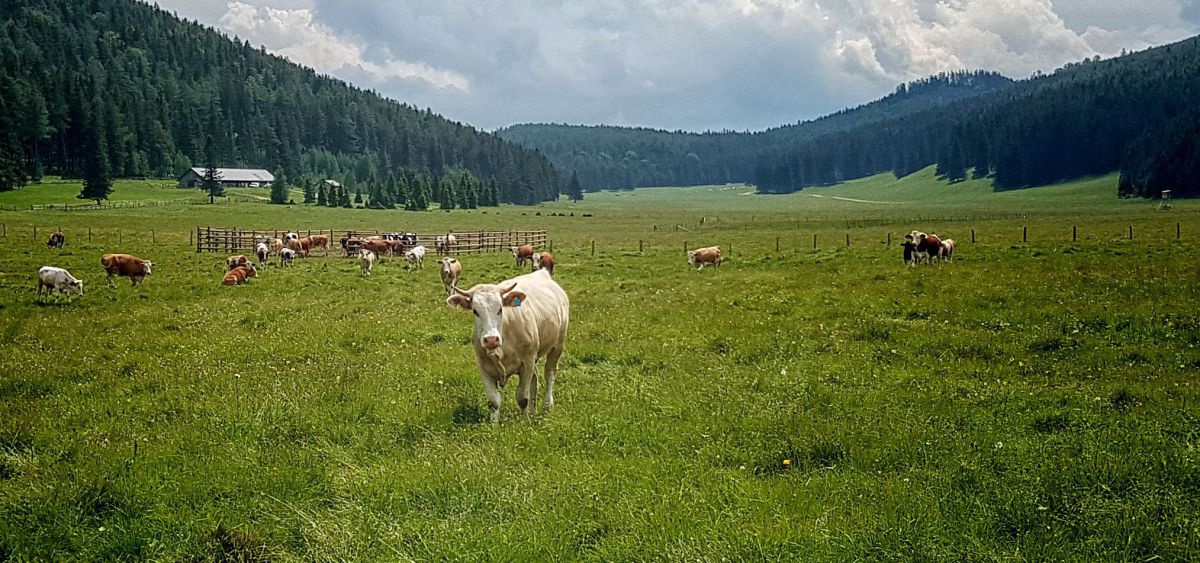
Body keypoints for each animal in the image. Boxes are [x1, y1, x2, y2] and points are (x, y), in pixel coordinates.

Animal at [448, 267, 568, 422]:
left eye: (500, 309)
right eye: (475, 311)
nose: (491, 339)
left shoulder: (527, 363)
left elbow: (522, 398)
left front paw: (524, 421)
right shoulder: (483, 367)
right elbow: (494, 402)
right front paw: (494, 424)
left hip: (557, 346)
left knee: (549, 373)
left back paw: (548, 404)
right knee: (535, 379)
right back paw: (533, 411)